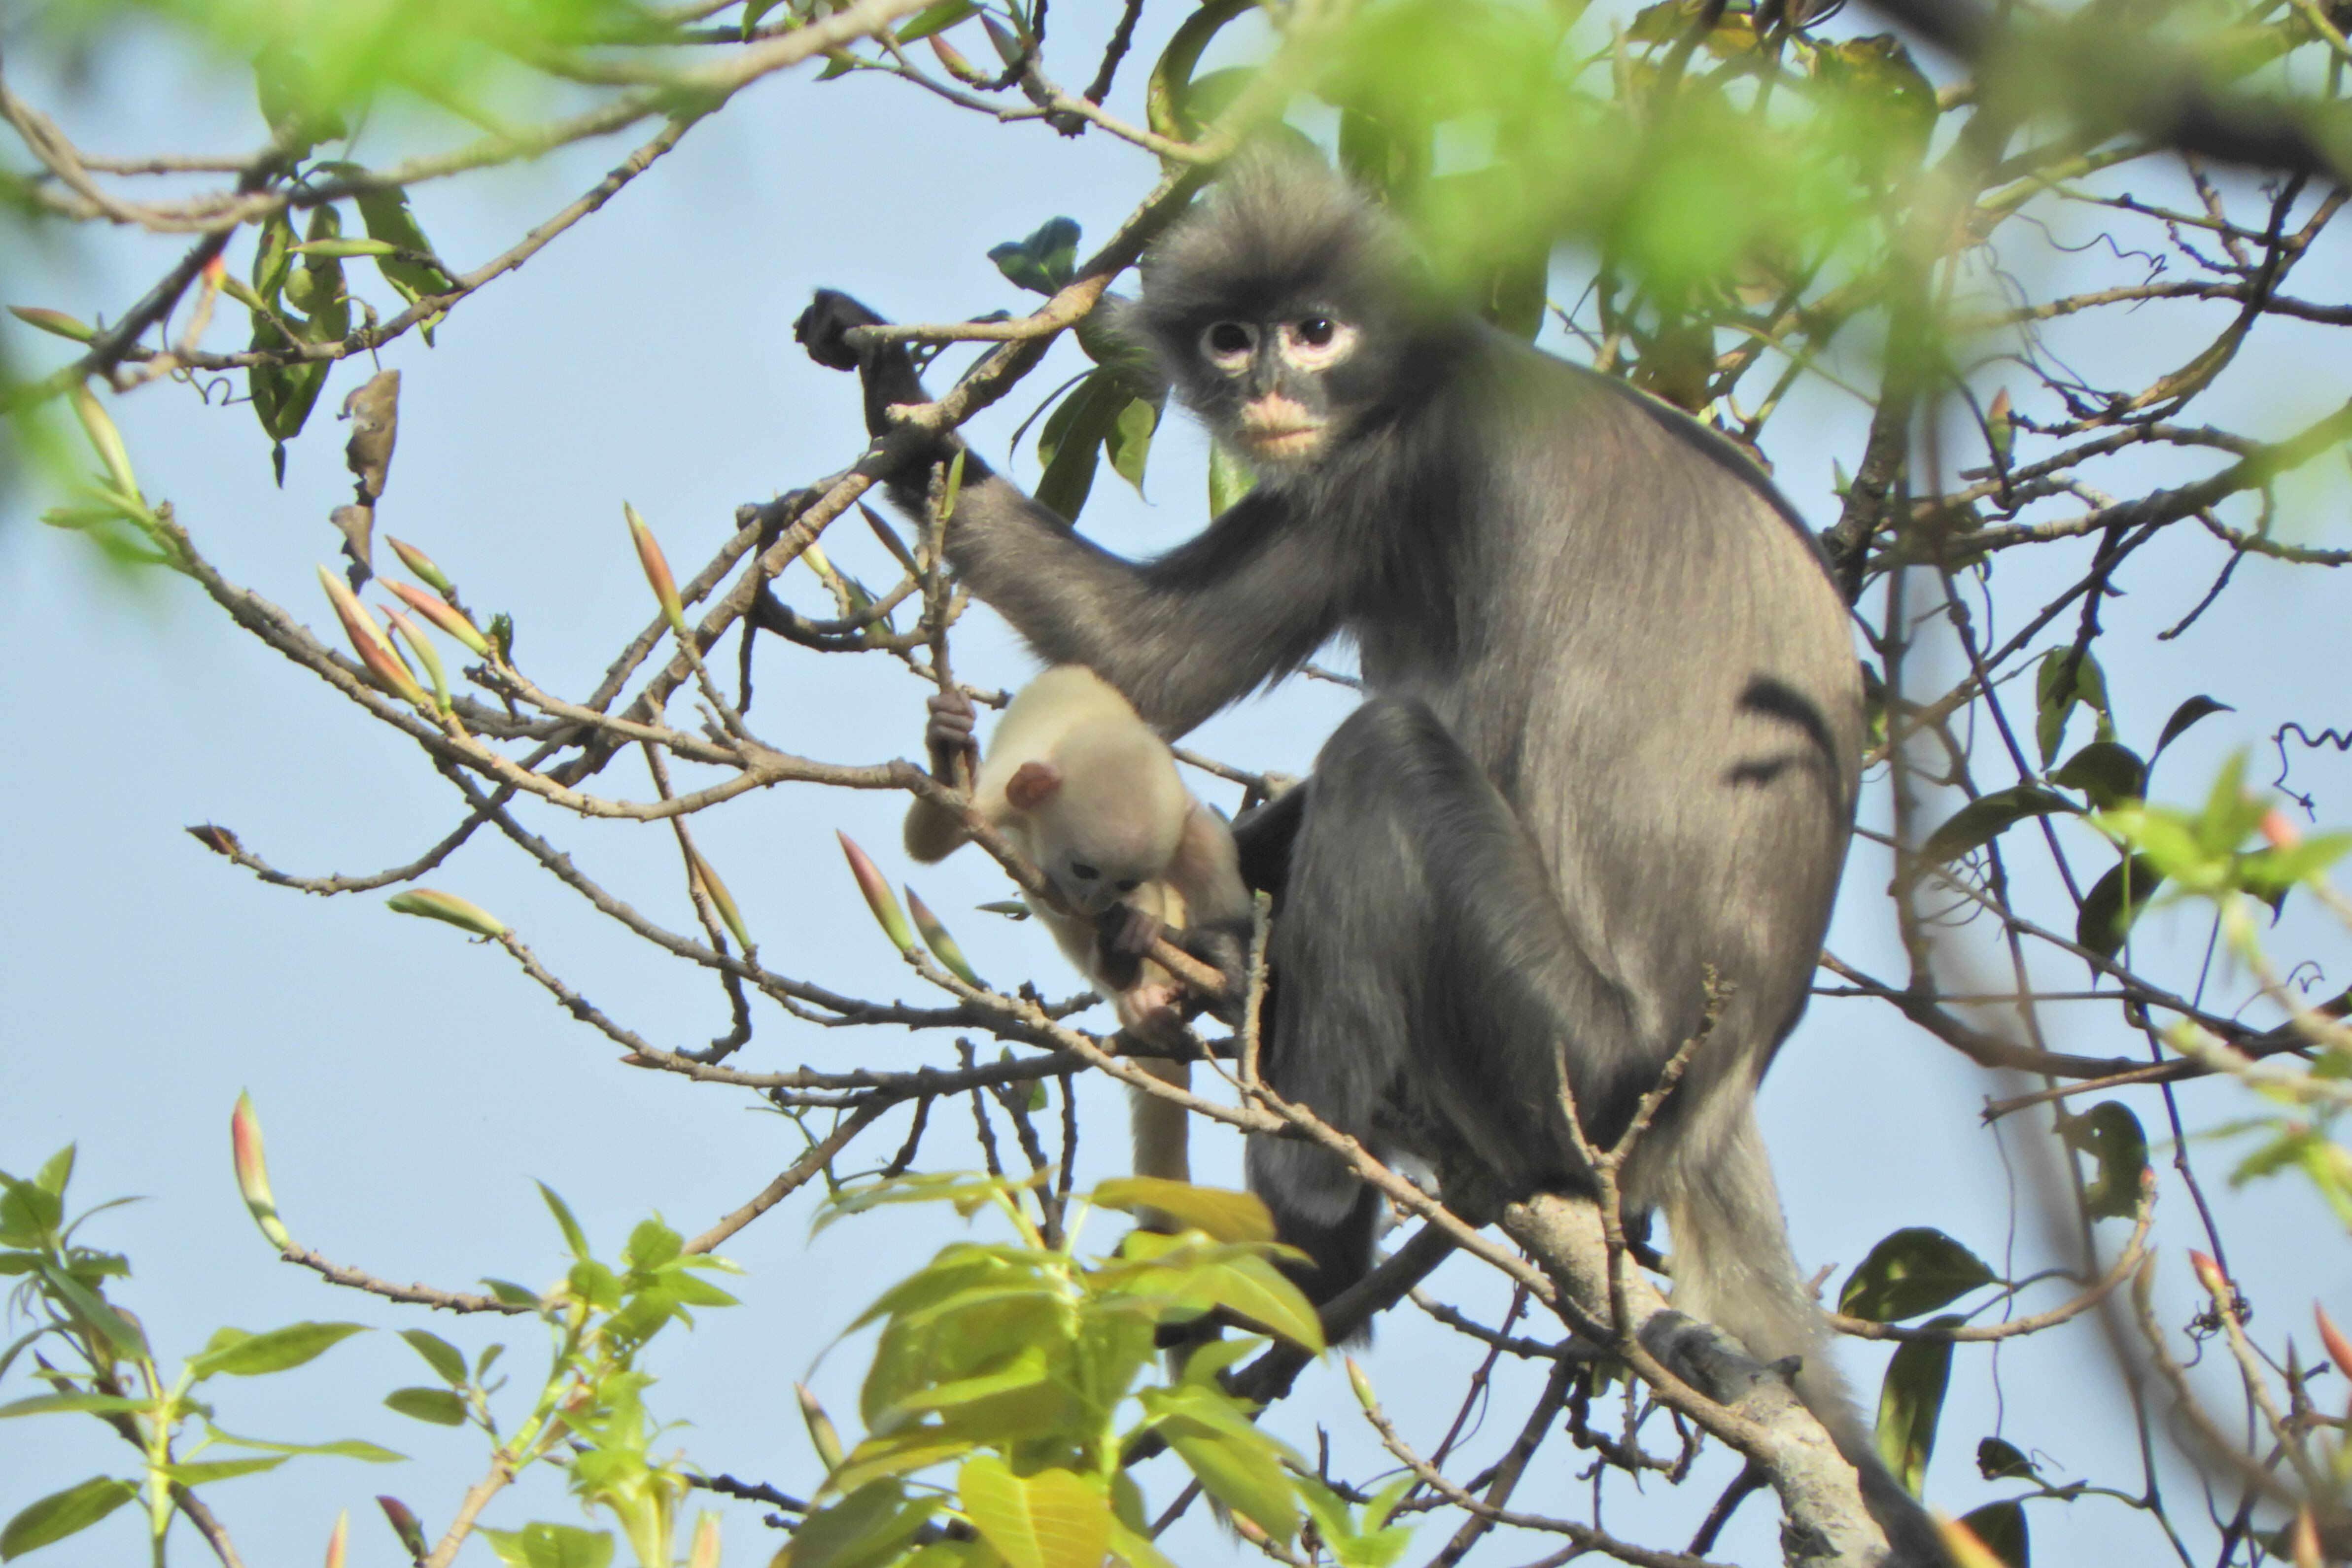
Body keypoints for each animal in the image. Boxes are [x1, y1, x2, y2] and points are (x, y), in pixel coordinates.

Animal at [907, 662, 1260, 1189]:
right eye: (1084, 870)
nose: (1097, 900)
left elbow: (1220, 887)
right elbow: (931, 838)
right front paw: (948, 741)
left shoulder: (1183, 824)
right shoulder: (1003, 796)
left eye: (1124, 878)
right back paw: (1127, 979)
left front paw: (1218, 955)